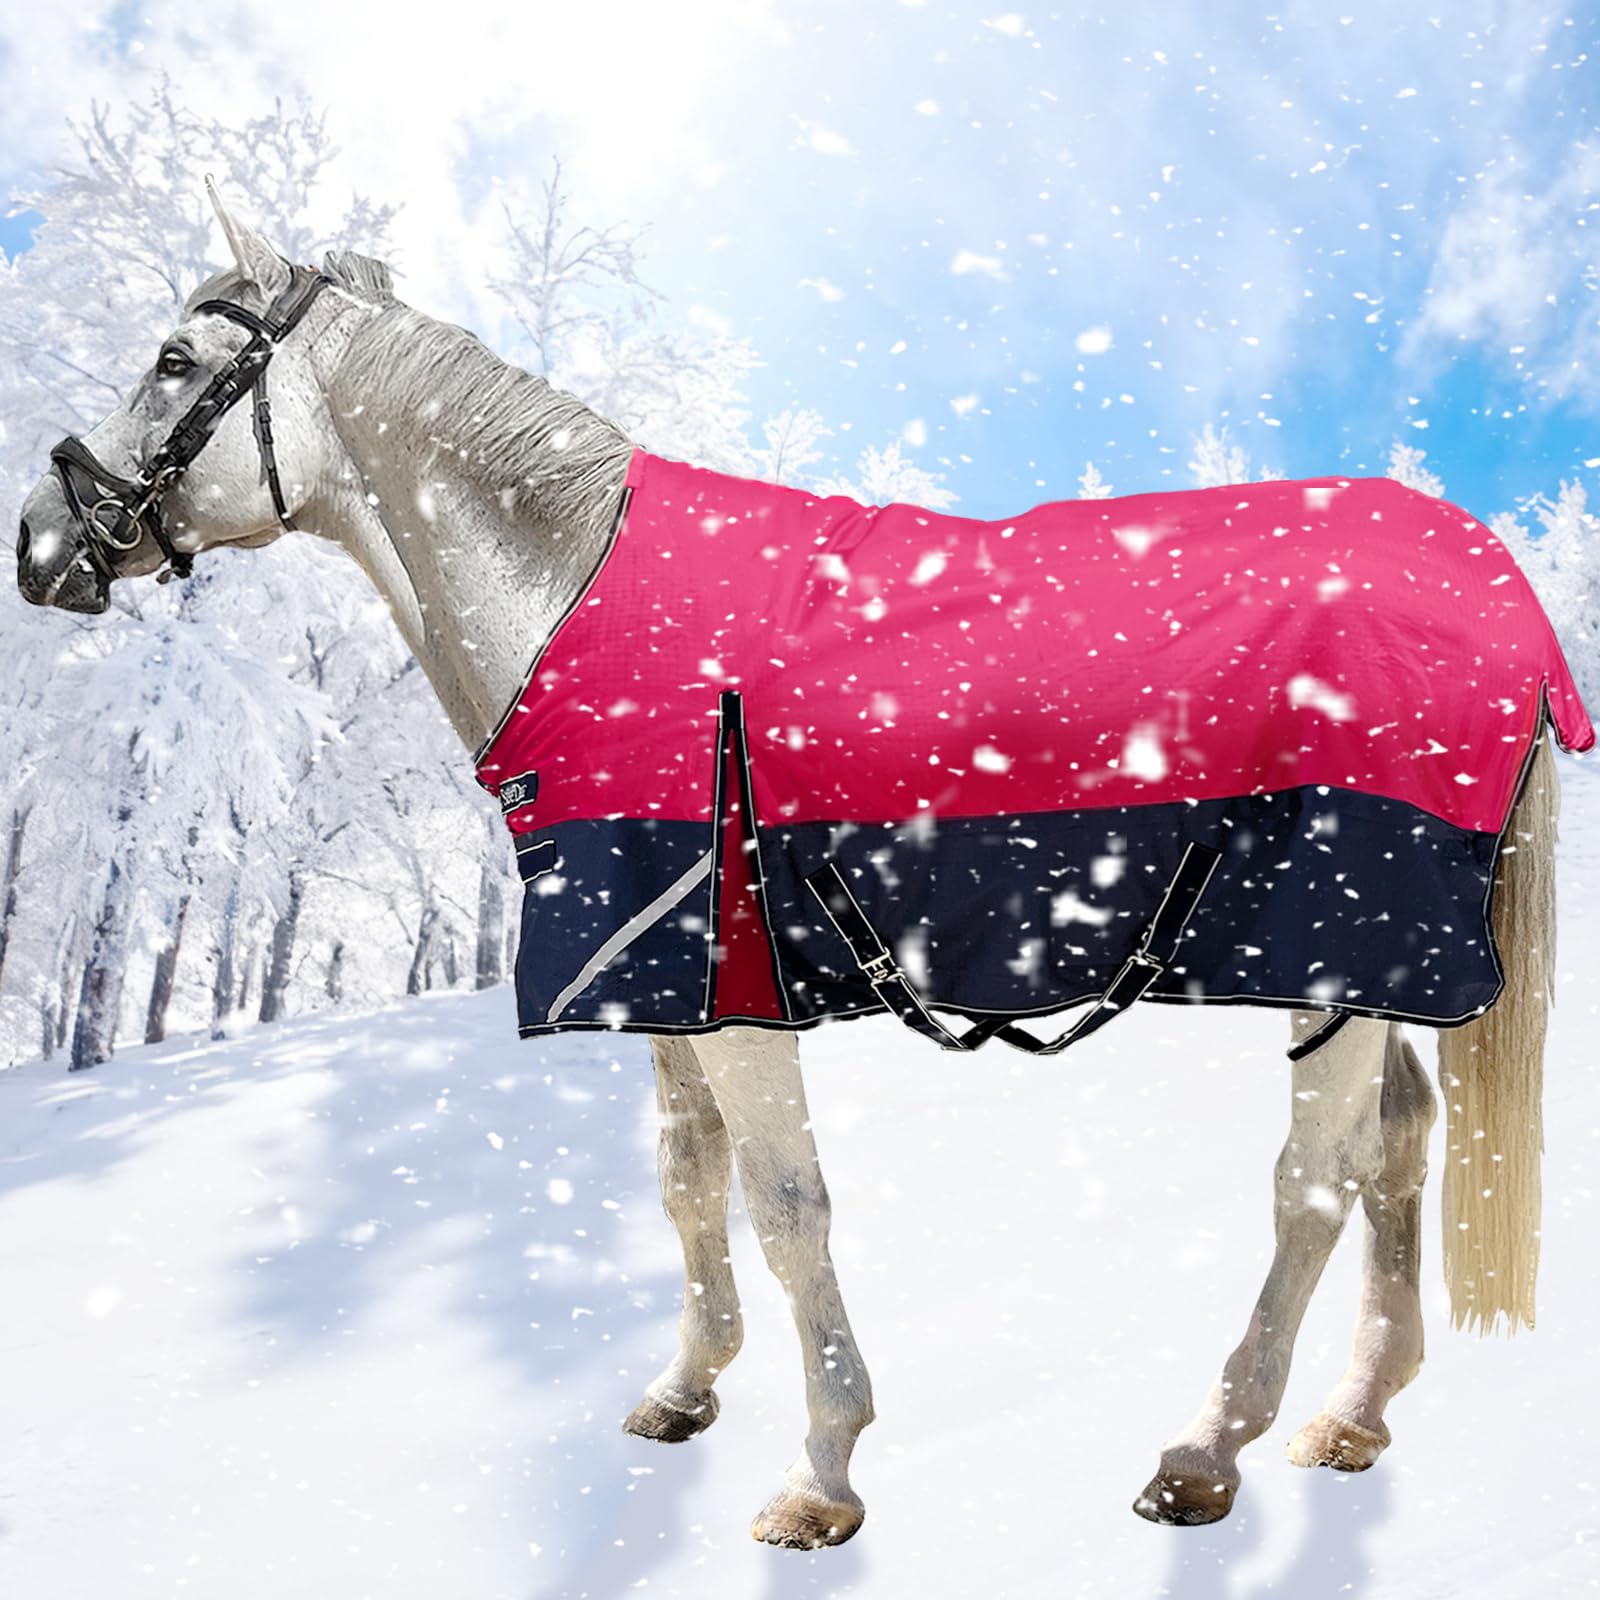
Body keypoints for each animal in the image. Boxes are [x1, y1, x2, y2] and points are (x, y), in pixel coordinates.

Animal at [14, 183, 1574, 1549]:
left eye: (173, 360)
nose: (39, 542)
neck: (583, 597)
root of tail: (1490, 578)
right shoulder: (660, 974)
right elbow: (687, 1175)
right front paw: (685, 1384)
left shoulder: (738, 988)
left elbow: (784, 1203)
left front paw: (823, 1467)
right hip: (1375, 967)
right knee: (1402, 1144)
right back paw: (1355, 1412)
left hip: (1326, 950)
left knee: (1316, 1178)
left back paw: (1207, 1447)